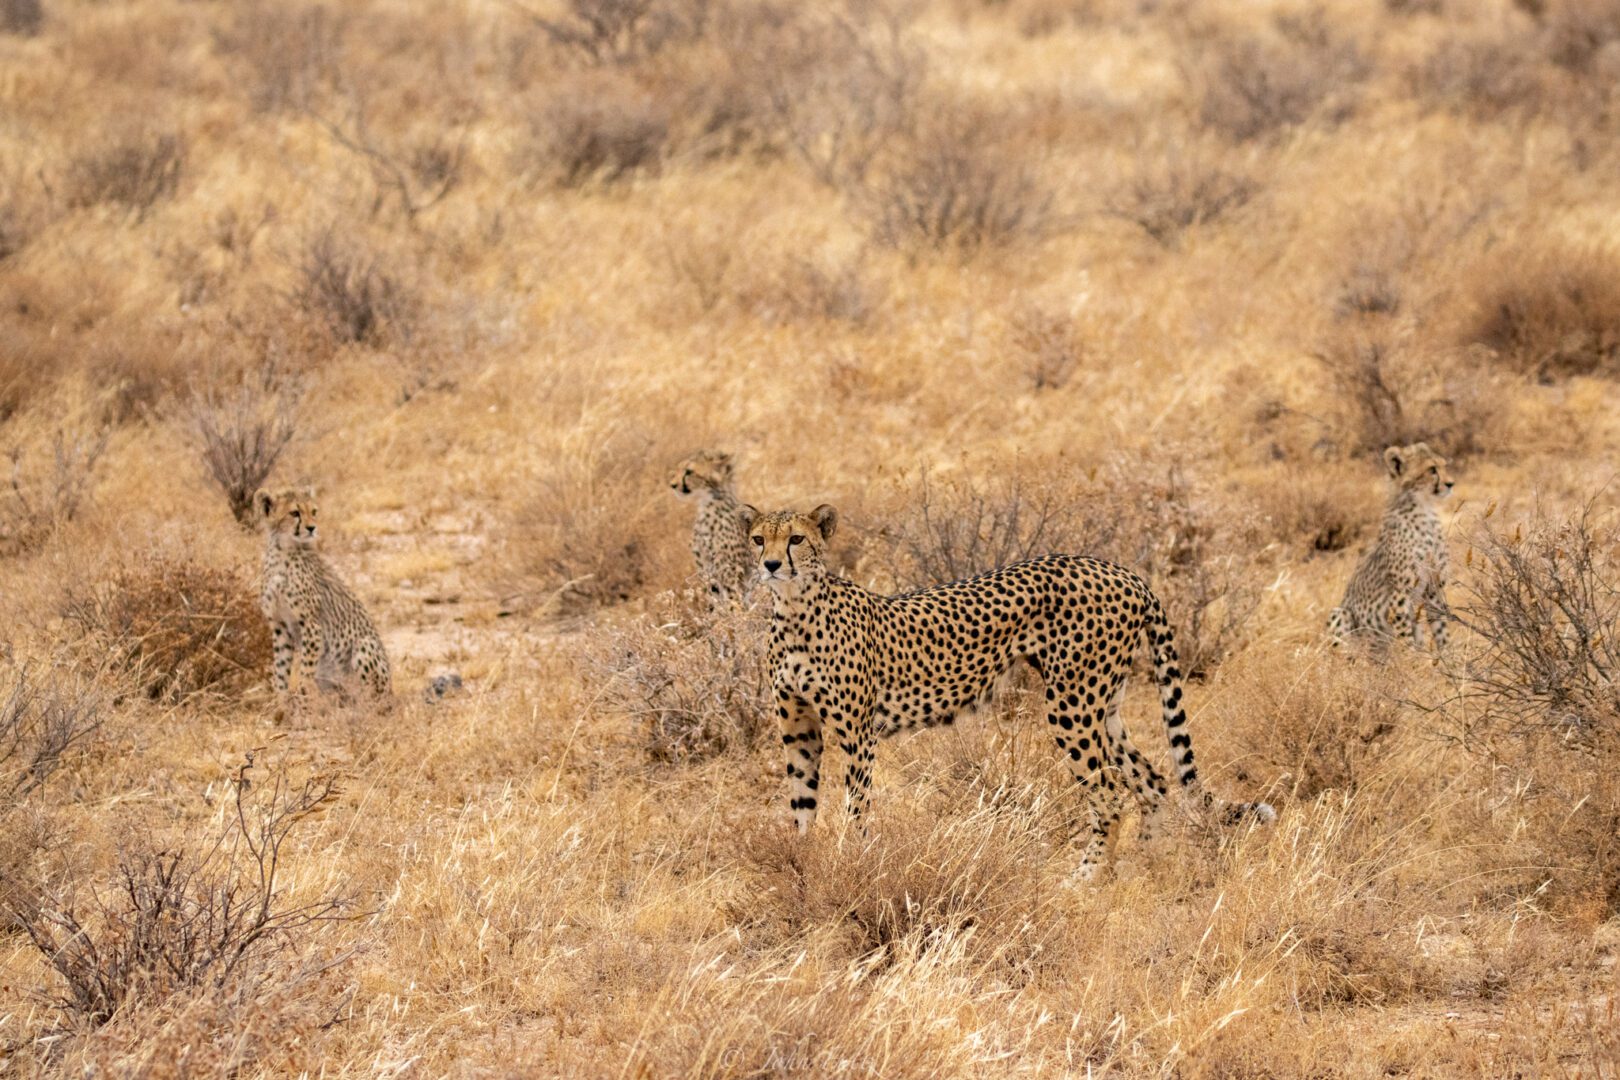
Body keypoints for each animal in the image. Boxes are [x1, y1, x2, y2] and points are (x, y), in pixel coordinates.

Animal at [252, 488, 392, 702]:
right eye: (295, 513)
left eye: (314, 511)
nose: (312, 528)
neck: (283, 552)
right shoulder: (280, 626)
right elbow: (280, 670)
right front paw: (280, 702)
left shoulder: (311, 625)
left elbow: (306, 672)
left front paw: (302, 699)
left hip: (364, 645)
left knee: (368, 696)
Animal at [664, 450, 751, 608]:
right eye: (679, 469)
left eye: (689, 471)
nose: (672, 485)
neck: (708, 505)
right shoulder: (704, 568)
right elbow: (714, 596)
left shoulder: (729, 570)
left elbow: (733, 599)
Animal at [741, 501, 1270, 880]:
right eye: (758, 539)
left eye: (796, 539)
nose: (770, 564)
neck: (794, 609)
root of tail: (1122, 571)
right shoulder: (799, 731)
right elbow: (802, 804)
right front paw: (802, 862)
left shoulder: (857, 735)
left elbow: (855, 808)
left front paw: (852, 861)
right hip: (1104, 704)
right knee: (1152, 780)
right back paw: (1144, 867)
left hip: (1071, 703)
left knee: (1110, 792)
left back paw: (1087, 878)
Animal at [1328, 440, 1458, 650]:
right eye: (1432, 469)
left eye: (1444, 466)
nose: (1450, 484)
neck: (1424, 509)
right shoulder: (1400, 594)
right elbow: (1406, 639)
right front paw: (1413, 659)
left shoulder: (1433, 588)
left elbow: (1442, 632)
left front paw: (1451, 658)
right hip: (1340, 613)